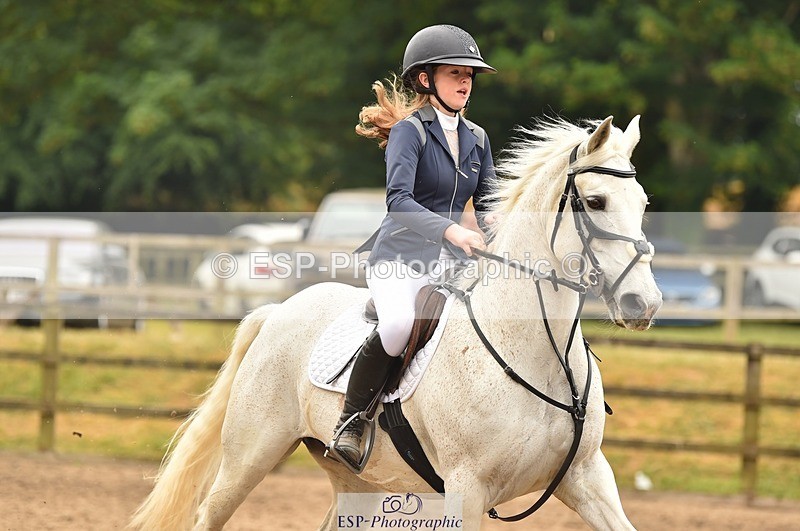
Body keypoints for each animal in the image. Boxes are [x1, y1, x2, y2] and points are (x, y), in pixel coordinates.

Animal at [131, 115, 662, 531]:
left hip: (354, 480)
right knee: (209, 514)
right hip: (249, 456)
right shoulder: (467, 488)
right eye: (595, 202)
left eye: (643, 203)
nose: (645, 303)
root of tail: (279, 311)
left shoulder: (588, 477)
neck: (540, 357)